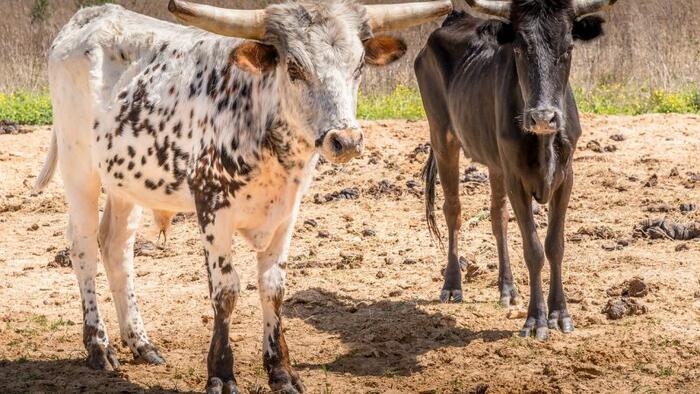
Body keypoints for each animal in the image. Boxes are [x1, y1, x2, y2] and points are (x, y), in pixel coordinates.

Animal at [32, 0, 452, 394]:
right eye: (294, 68)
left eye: (359, 65)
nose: (345, 141)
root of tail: (86, 19)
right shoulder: (212, 208)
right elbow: (226, 291)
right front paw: (221, 373)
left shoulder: (287, 212)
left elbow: (273, 287)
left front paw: (281, 372)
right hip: (79, 168)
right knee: (83, 245)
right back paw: (98, 346)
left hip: (126, 181)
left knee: (116, 247)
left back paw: (141, 343)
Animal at [416, 0, 616, 338]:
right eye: (520, 49)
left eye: (567, 48)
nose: (543, 117)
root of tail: (454, 18)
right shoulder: (517, 181)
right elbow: (533, 248)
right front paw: (536, 320)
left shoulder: (565, 178)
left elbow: (555, 245)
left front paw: (560, 313)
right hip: (443, 137)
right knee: (453, 209)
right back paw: (452, 285)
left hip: (496, 163)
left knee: (498, 216)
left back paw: (507, 289)